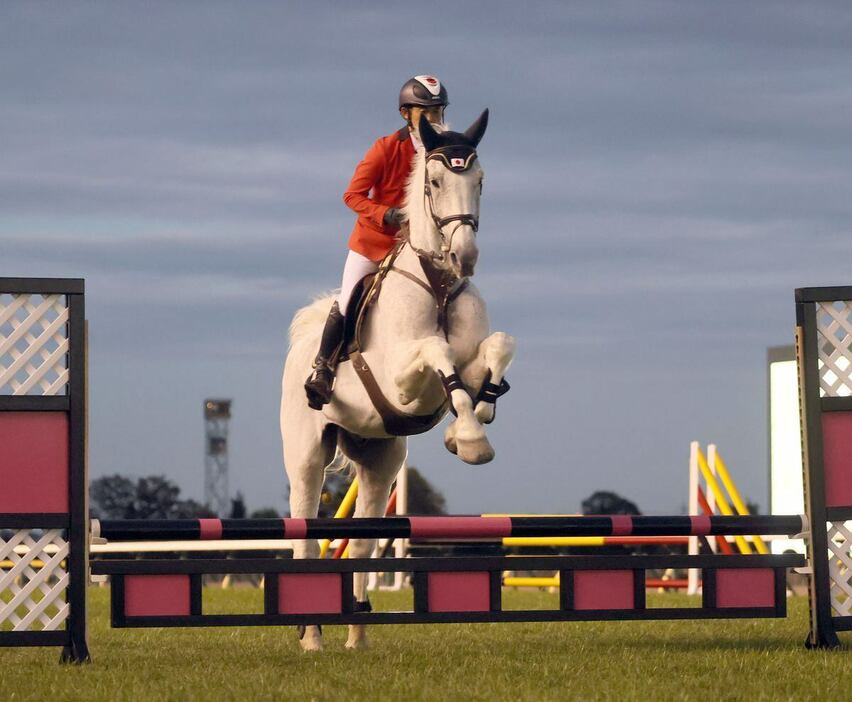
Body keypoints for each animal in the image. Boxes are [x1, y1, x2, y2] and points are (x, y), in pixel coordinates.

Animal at [282, 111, 516, 656]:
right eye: (434, 182)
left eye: (480, 181)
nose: (466, 257)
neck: (439, 283)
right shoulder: (401, 383)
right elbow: (437, 352)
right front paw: (470, 438)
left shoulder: (467, 362)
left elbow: (498, 346)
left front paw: (478, 415)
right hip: (306, 456)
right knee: (305, 534)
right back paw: (310, 637)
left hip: (381, 459)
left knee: (363, 544)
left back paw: (357, 634)